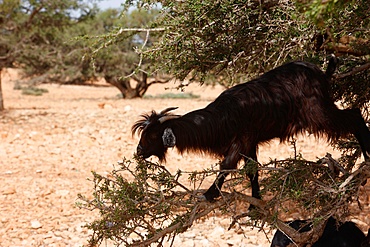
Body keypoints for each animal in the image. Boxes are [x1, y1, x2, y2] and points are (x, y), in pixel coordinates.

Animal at [132, 57, 370, 202]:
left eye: (152, 135)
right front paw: (255, 200)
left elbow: (227, 166)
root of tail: (320, 73)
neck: (220, 118)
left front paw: (209, 195)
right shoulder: (250, 143)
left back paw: (367, 155)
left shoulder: (241, 140)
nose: (138, 151)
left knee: (354, 115)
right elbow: (252, 170)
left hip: (319, 112)